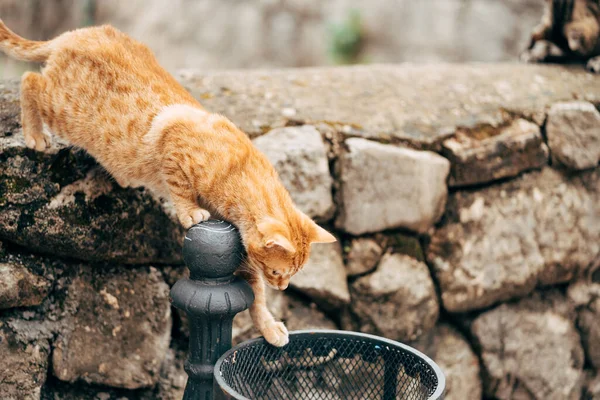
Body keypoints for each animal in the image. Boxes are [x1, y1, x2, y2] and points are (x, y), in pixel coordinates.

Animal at [0, 21, 338, 346]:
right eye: (278, 272)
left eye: (290, 274)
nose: (282, 285)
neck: (239, 171)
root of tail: (76, 34)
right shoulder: (172, 142)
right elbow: (181, 187)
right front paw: (190, 212)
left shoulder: (242, 256)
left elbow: (255, 296)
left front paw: (268, 326)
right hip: (68, 112)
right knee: (30, 80)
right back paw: (34, 134)